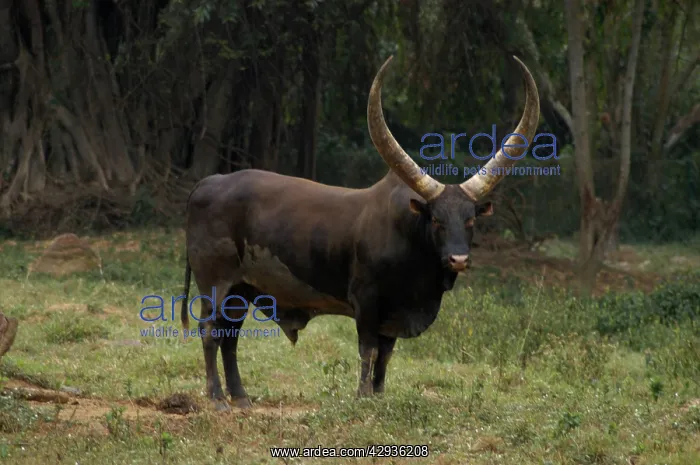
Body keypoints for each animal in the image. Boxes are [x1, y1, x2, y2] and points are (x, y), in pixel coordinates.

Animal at [181, 55, 540, 410]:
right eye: (437, 219)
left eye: (470, 220)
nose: (459, 259)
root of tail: (208, 182)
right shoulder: (366, 301)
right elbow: (368, 349)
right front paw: (363, 396)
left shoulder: (395, 312)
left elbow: (386, 354)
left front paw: (379, 394)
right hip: (215, 284)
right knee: (209, 331)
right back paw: (217, 398)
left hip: (241, 290)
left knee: (230, 337)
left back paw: (241, 397)